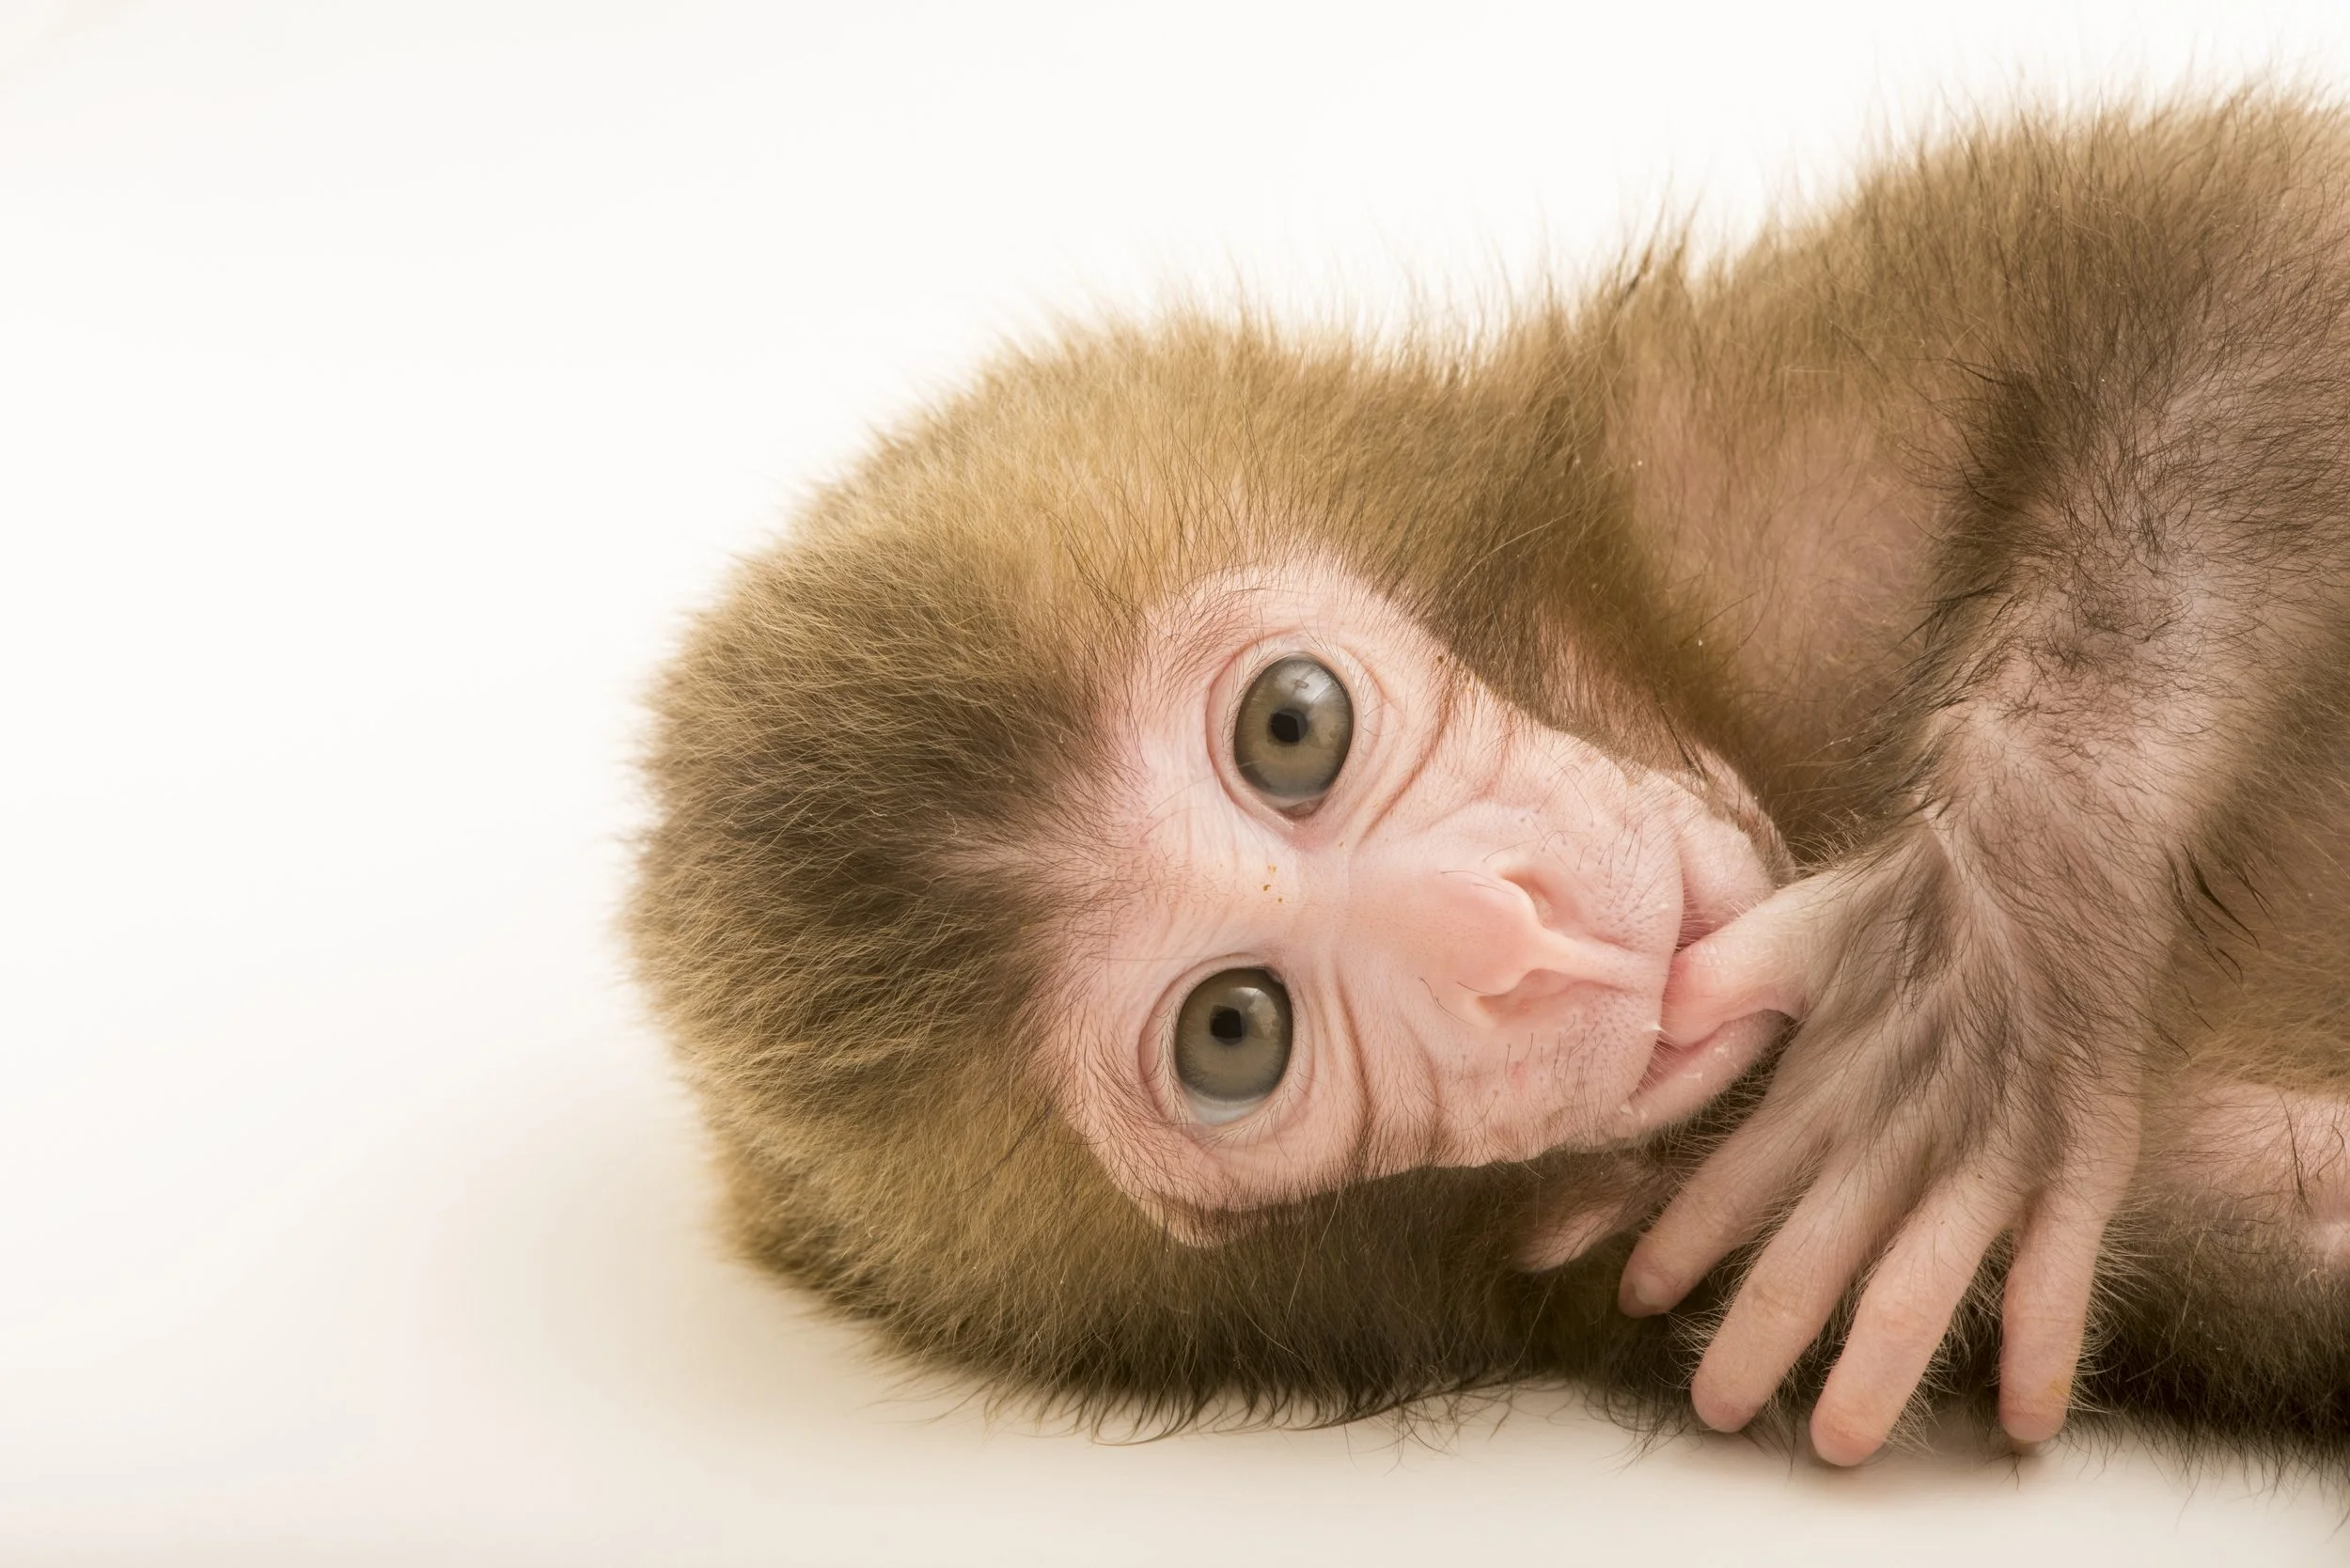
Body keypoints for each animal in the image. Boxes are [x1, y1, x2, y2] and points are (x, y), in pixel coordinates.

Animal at [630, 94, 2350, 1470]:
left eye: (1293, 725)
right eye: (1234, 1035)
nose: (1506, 934)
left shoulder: (1742, 446)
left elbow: (2252, 258)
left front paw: (1995, 935)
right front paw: (1987, 978)